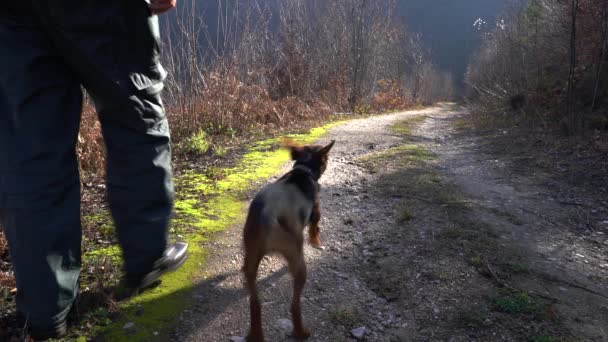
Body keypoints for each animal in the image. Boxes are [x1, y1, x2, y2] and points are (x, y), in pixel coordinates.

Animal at [243, 140, 338, 342]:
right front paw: (317, 243)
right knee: (294, 305)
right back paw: (301, 332)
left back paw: (255, 334)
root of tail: (267, 214)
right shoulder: (315, 215)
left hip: (251, 262)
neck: (303, 170)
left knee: (255, 304)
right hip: (298, 260)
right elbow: (315, 230)